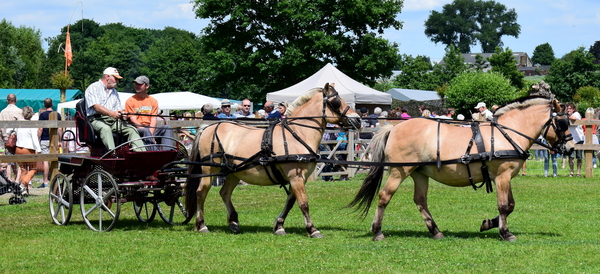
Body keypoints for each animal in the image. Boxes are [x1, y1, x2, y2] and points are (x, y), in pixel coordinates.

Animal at [185, 83, 358, 238]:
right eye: (336, 101)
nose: (357, 120)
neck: (297, 134)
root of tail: (207, 128)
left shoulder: (299, 178)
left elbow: (290, 202)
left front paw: (279, 226)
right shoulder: (295, 176)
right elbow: (303, 203)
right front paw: (312, 229)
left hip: (234, 172)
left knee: (225, 193)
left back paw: (233, 223)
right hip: (210, 169)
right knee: (201, 192)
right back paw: (201, 225)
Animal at [350, 96, 576, 242]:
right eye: (562, 123)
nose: (572, 148)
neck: (506, 134)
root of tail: (394, 127)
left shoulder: (504, 176)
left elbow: (510, 205)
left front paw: (488, 224)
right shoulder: (502, 176)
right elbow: (504, 206)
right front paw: (505, 233)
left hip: (419, 173)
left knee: (421, 201)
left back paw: (435, 231)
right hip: (399, 171)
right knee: (384, 197)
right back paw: (378, 232)